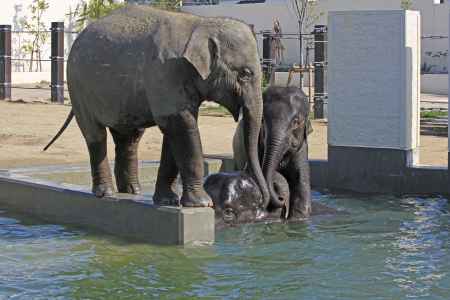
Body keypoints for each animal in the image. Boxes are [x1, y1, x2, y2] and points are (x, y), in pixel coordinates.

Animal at [44, 4, 270, 207]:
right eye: (245, 74)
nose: (263, 202)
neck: (200, 24)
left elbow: (175, 131)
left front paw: (168, 201)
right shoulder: (166, 72)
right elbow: (183, 126)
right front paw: (203, 204)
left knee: (129, 139)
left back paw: (131, 191)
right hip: (79, 88)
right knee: (95, 135)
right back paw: (106, 193)